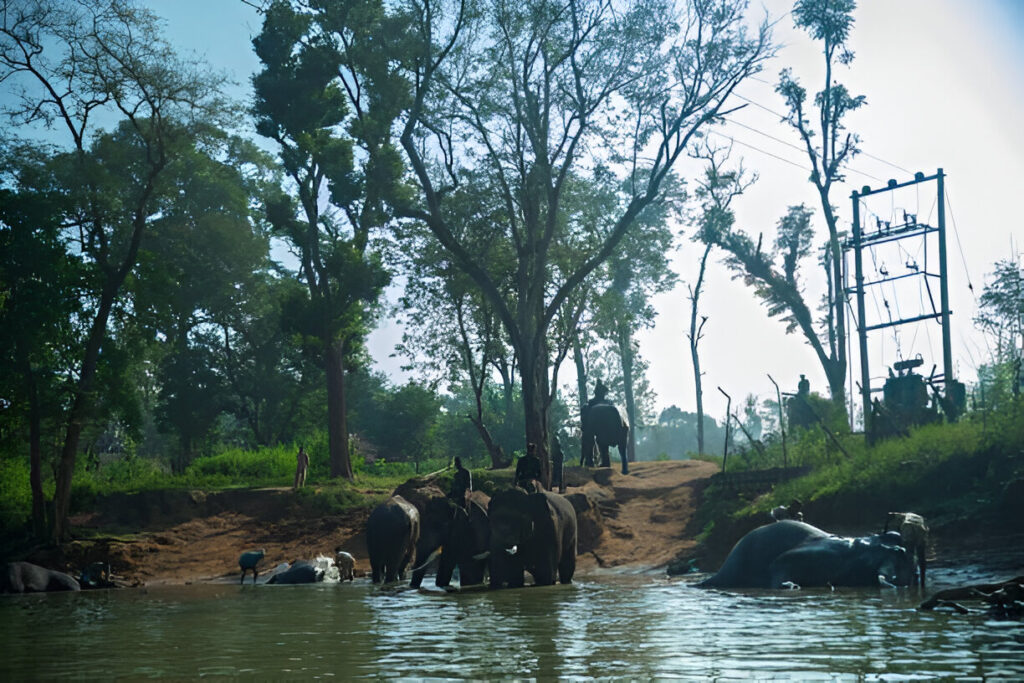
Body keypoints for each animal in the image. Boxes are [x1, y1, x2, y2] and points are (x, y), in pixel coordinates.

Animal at [696, 520, 913, 589]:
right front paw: (789, 585)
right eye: (898, 549)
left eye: (896, 538)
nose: (902, 547)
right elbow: (778, 568)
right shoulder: (791, 557)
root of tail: (720, 573)